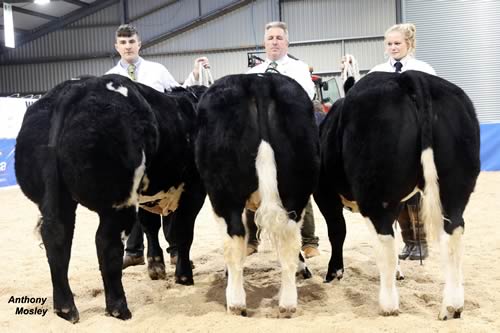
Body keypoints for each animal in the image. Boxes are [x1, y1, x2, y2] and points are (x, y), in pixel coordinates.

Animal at [14, 74, 205, 320]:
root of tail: (76, 87)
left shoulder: (148, 195)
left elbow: (151, 226)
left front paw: (156, 266)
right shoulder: (194, 192)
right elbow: (182, 233)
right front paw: (183, 275)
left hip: (58, 198)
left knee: (57, 237)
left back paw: (65, 307)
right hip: (117, 202)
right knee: (106, 243)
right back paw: (118, 307)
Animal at [195, 73, 320, 316]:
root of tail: (258, 79)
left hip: (223, 195)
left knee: (233, 241)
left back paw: (235, 302)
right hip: (296, 190)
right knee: (290, 241)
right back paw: (288, 303)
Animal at [314, 70, 482, 320]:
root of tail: (408, 77)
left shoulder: (323, 192)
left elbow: (337, 231)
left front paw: (334, 273)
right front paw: (398, 273)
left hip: (376, 193)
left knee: (384, 239)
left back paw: (388, 305)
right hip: (454, 189)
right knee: (453, 233)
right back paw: (451, 307)